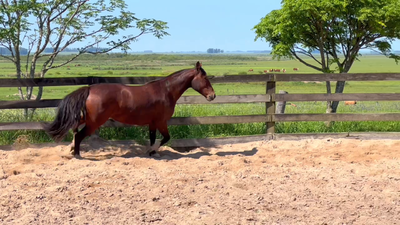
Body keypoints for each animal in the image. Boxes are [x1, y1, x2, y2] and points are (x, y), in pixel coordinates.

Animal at [43, 60, 216, 157]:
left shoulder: (152, 123)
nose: (212, 96)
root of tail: (90, 89)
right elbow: (166, 138)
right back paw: (77, 154)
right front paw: (152, 151)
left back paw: (71, 148)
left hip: (89, 118)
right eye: (205, 78)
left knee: (74, 126)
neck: (166, 91)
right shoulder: (161, 121)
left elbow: (153, 138)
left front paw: (152, 153)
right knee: (79, 135)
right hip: (95, 122)